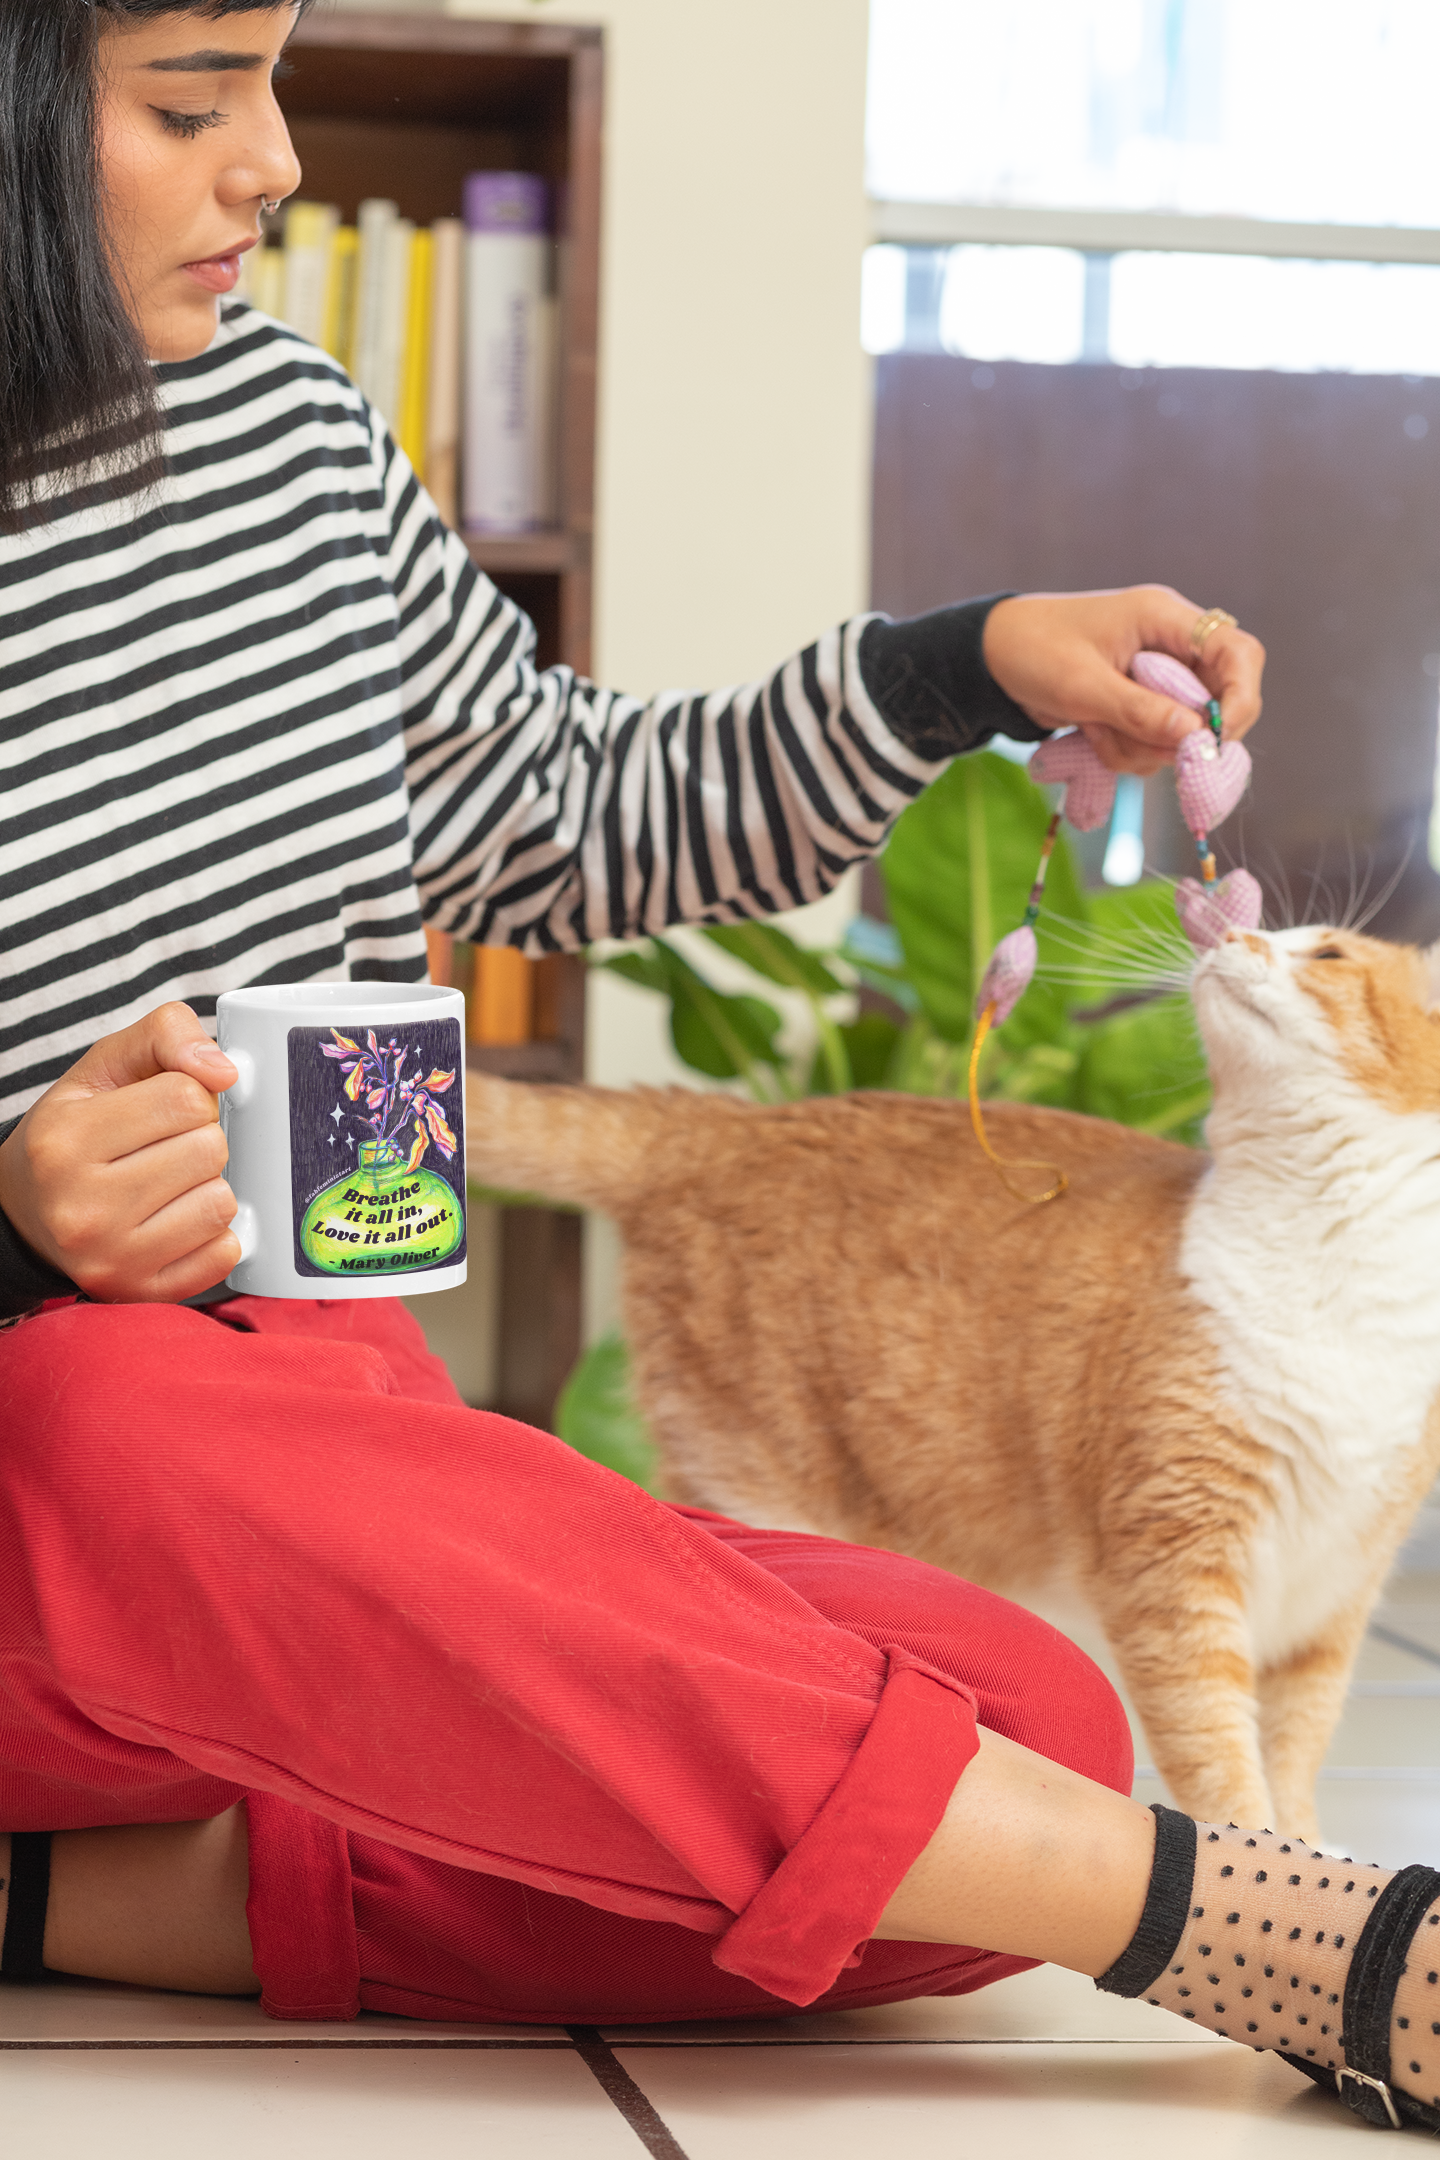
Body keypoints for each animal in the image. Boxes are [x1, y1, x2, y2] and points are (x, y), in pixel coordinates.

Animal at [470, 928, 1440, 1840]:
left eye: (1327, 952)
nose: (1230, 934)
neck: (1336, 1262)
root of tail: (739, 1121)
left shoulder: (1335, 1593)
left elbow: (1296, 1747)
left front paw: (1316, 1848)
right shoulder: (1174, 1570)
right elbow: (1221, 1758)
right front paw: (1258, 1854)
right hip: (766, 1488)